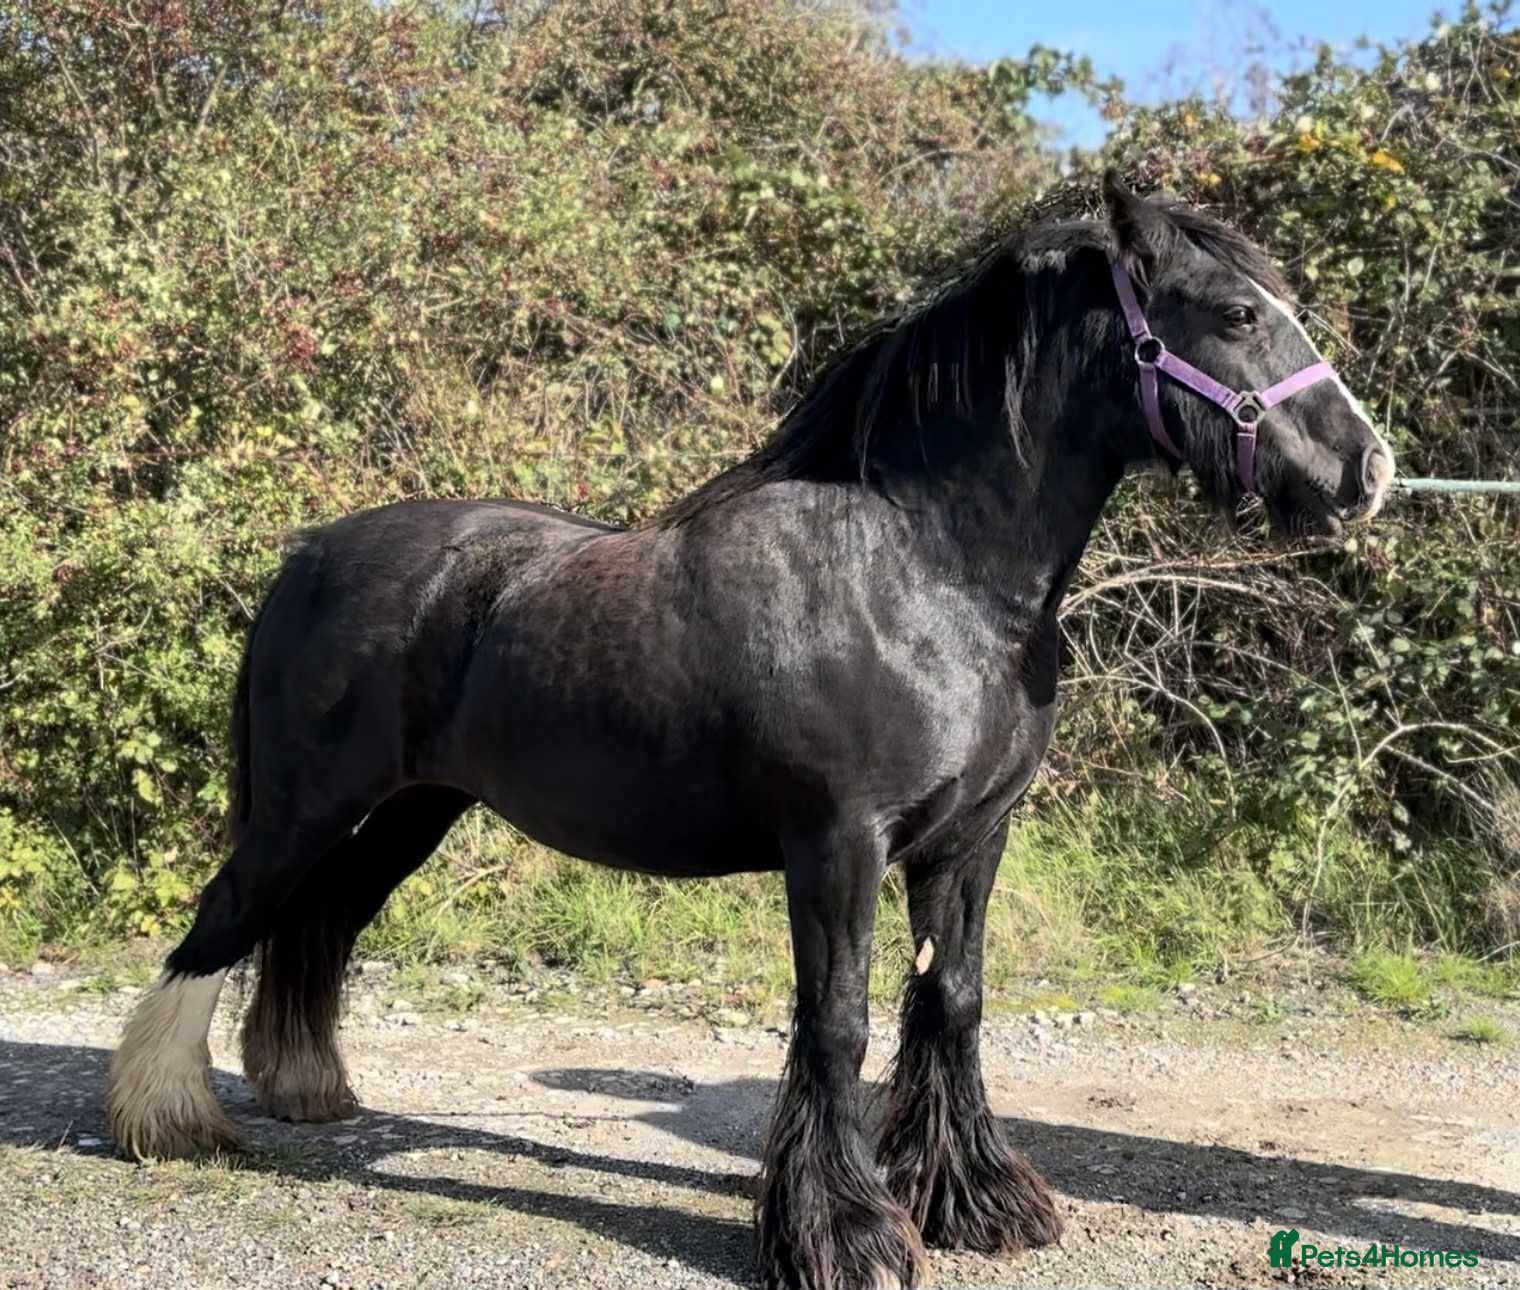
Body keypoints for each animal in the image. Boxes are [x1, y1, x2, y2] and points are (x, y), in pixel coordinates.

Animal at [106, 174, 1394, 1290]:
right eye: (1234, 313)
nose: (1364, 470)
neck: (929, 572)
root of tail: (310, 553)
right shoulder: (837, 845)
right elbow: (838, 1024)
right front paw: (844, 1240)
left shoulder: (968, 842)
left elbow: (952, 1004)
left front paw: (971, 1203)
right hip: (305, 805)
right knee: (225, 921)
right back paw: (166, 1117)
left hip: (413, 812)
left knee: (319, 921)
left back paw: (306, 1089)